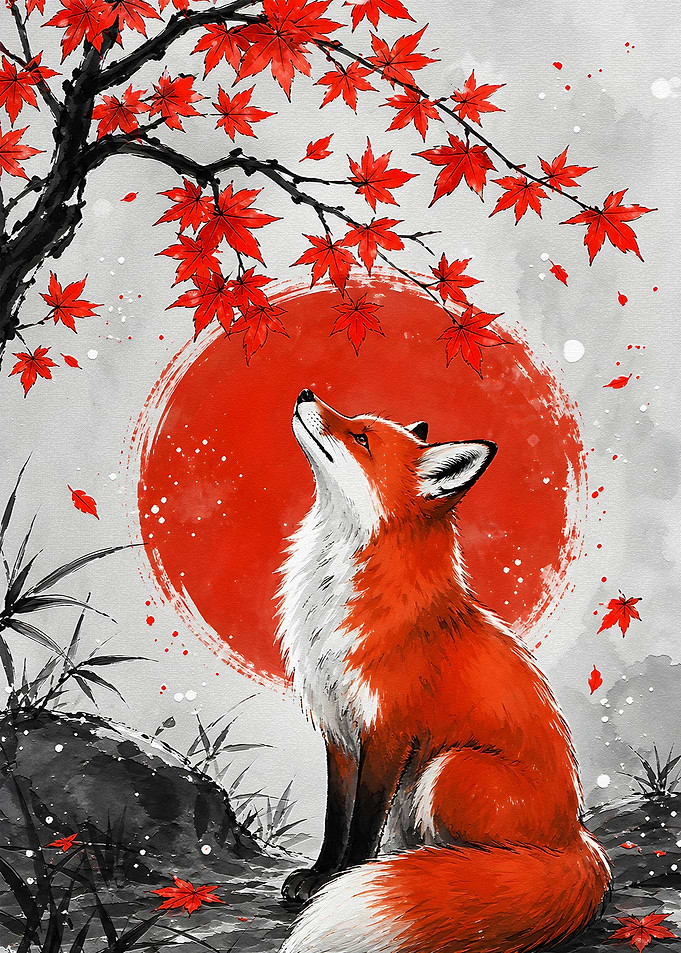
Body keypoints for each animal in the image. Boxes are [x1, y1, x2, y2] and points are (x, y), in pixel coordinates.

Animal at [275, 388, 611, 953]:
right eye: (355, 423)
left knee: (484, 863)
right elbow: (335, 817)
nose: (304, 393)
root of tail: (574, 840)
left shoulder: (388, 732)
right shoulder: (340, 730)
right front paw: (319, 876)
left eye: (361, 437)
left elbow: (361, 825)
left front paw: (341, 881)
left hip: (448, 768)